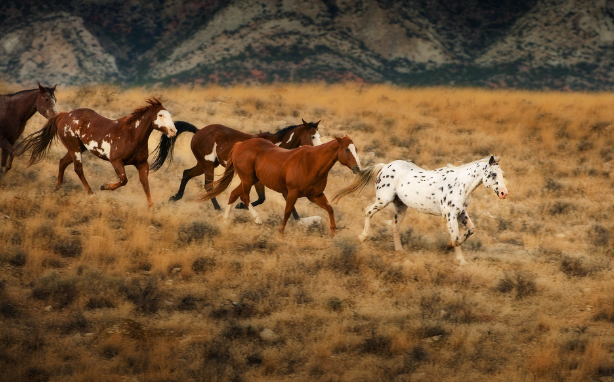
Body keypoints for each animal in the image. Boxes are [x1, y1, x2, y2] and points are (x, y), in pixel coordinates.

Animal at [15, 98, 178, 206]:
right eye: (160, 115)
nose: (173, 131)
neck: (132, 135)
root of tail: (65, 115)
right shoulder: (116, 161)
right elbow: (124, 180)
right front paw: (104, 186)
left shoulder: (142, 164)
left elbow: (145, 184)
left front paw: (151, 208)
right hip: (75, 149)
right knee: (78, 169)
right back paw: (91, 194)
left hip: (77, 149)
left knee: (62, 163)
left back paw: (57, 188)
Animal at [152, 118, 322, 218]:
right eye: (312, 136)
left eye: (319, 135)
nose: (319, 150)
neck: (275, 146)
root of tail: (199, 131)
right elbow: (262, 198)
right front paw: (240, 206)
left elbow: (279, 198)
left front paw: (298, 219)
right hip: (207, 165)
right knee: (208, 185)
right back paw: (218, 209)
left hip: (204, 164)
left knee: (187, 174)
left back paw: (175, 197)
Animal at [200, 136, 364, 234]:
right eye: (347, 149)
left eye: (356, 149)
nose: (358, 168)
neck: (311, 162)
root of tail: (240, 144)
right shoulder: (292, 193)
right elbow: (287, 211)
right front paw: (281, 232)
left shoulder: (315, 195)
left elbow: (330, 209)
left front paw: (333, 232)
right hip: (247, 179)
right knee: (244, 197)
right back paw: (257, 219)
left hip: (251, 180)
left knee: (234, 194)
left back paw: (226, 220)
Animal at [332, 155, 510, 266]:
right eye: (493, 174)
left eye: (502, 173)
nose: (504, 193)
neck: (461, 184)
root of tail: (384, 167)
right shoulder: (450, 215)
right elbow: (455, 237)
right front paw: (460, 259)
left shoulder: (461, 213)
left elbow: (471, 230)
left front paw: (449, 246)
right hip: (383, 200)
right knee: (368, 211)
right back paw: (363, 237)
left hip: (400, 207)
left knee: (394, 226)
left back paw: (400, 251)